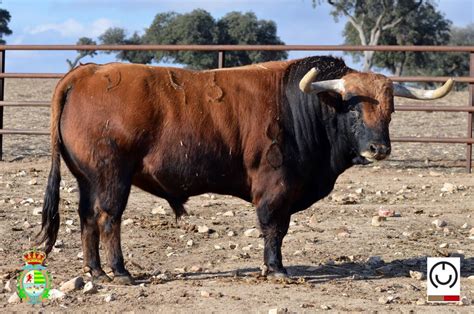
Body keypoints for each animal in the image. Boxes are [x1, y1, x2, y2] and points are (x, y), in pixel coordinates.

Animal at [39, 55, 454, 284]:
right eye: (353, 109)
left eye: (391, 111)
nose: (379, 149)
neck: (300, 106)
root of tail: (87, 72)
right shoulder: (275, 187)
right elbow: (274, 228)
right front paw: (276, 268)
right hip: (112, 176)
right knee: (108, 219)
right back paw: (120, 272)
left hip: (88, 179)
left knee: (87, 219)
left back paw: (96, 271)